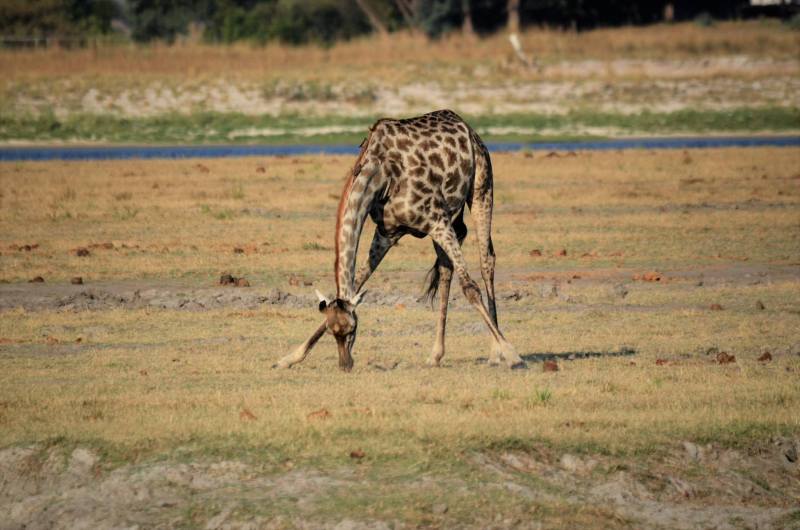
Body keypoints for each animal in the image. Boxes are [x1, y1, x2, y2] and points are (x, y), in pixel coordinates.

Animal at [273, 109, 526, 371]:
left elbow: (470, 287)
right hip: (451, 217)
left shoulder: (436, 221)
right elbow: (358, 282)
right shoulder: (387, 233)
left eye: (353, 329)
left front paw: (511, 353)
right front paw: (289, 357)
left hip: (481, 189)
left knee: (486, 261)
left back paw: (495, 352)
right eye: (334, 333)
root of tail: (468, 127)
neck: (381, 174)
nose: (345, 365)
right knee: (446, 269)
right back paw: (436, 354)